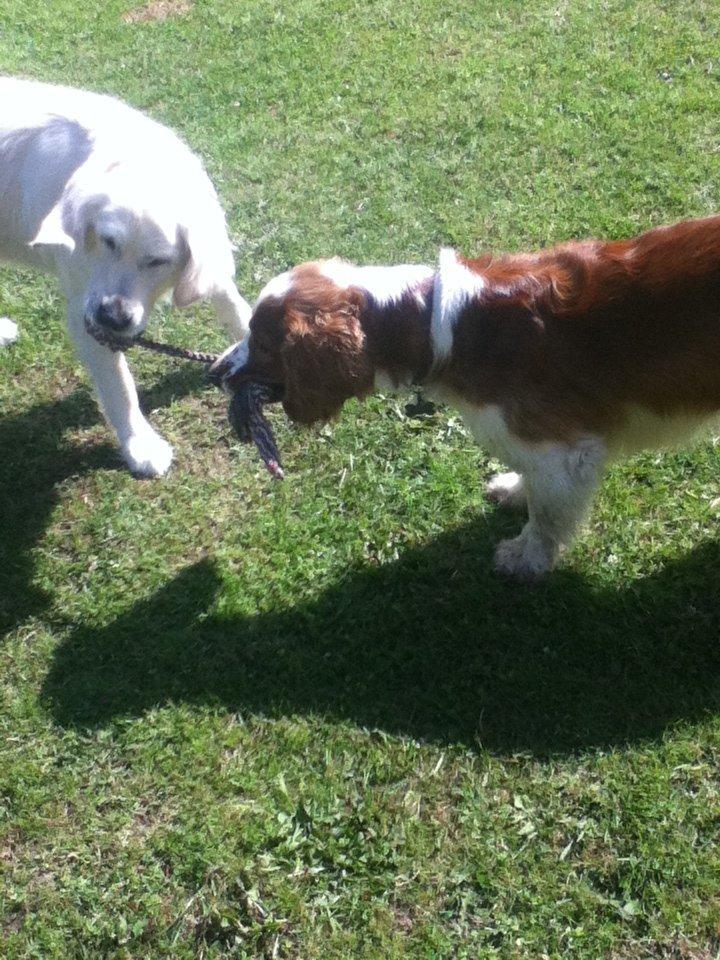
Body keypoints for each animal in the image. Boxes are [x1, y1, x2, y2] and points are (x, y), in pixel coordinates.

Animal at [0, 77, 253, 474]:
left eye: (158, 261)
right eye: (108, 242)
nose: (113, 317)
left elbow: (234, 305)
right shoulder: (85, 315)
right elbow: (120, 387)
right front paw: (141, 446)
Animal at [212, 217, 720, 576]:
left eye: (262, 341)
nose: (215, 372)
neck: (440, 325)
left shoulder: (565, 450)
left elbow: (545, 517)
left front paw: (526, 559)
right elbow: (531, 483)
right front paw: (514, 489)